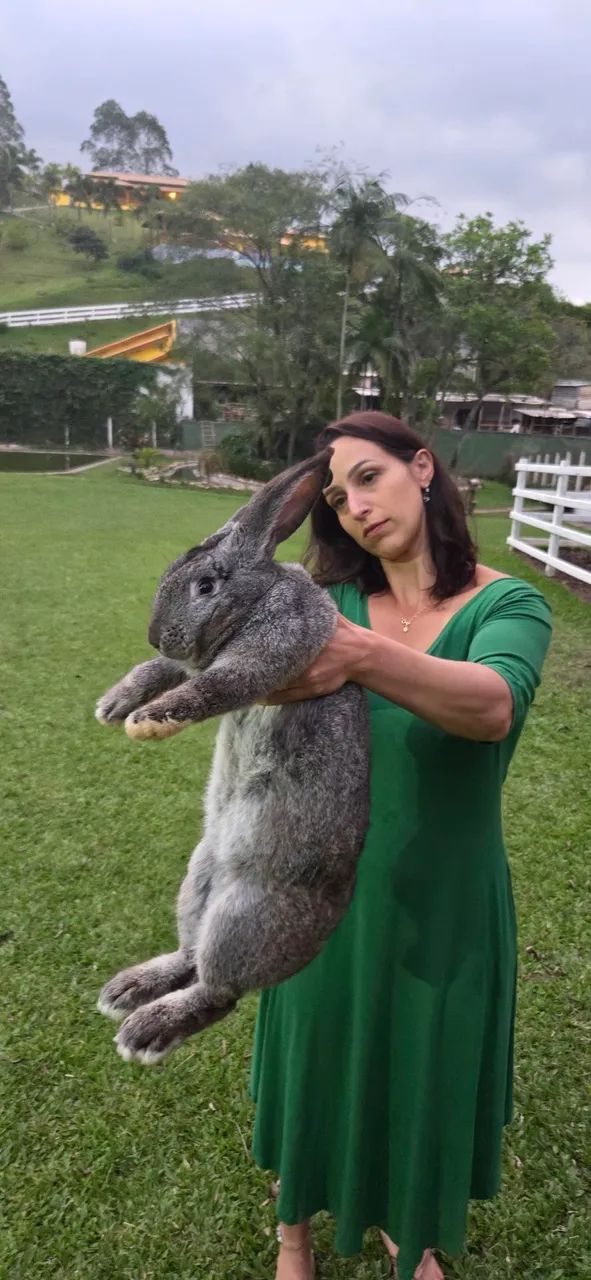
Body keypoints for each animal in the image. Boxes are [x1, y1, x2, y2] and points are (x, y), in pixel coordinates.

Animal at [95, 450, 370, 1065]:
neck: (253, 600)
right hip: (197, 883)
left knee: (218, 991)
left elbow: (216, 685)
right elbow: (164, 672)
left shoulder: (272, 649)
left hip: (243, 917)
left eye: (205, 584)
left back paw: (145, 1029)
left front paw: (149, 722)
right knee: (189, 958)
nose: (157, 634)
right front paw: (115, 704)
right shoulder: (188, 661)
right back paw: (127, 989)